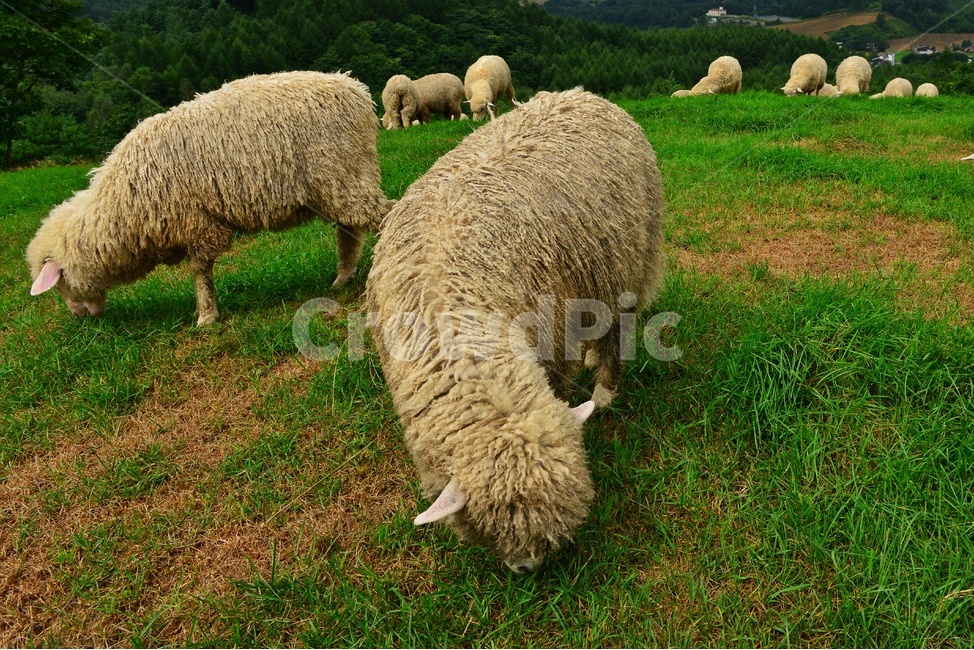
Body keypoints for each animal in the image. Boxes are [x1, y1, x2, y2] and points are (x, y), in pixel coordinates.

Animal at [28, 71, 393, 326]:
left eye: (60, 284)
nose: (80, 317)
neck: (123, 206)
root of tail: (355, 90)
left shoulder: (196, 222)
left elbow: (200, 272)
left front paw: (206, 316)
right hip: (337, 185)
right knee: (350, 231)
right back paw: (342, 278)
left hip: (344, 173)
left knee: (384, 216)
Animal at [366, 88, 665, 572]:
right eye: (496, 526)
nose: (528, 570)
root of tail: (582, 95)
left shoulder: (551, 332)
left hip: (629, 262)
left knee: (617, 332)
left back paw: (603, 391)